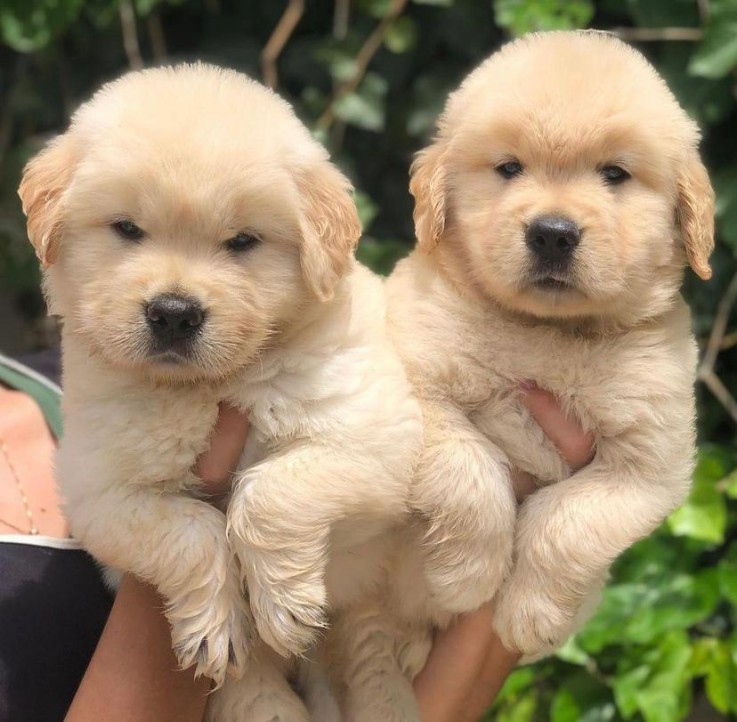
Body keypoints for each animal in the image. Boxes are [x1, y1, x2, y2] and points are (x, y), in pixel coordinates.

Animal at [18, 64, 420, 716]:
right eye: (127, 229)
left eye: (242, 242)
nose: (174, 313)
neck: (208, 387)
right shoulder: (100, 494)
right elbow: (191, 529)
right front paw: (216, 629)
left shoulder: (373, 439)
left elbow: (270, 491)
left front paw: (285, 606)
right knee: (258, 694)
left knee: (373, 656)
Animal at [324, 29, 712, 720]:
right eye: (509, 169)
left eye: (615, 175)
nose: (553, 233)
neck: (547, 332)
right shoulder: (412, 387)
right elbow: (470, 471)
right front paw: (465, 577)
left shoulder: (650, 464)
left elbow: (566, 522)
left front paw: (528, 618)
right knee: (370, 641)